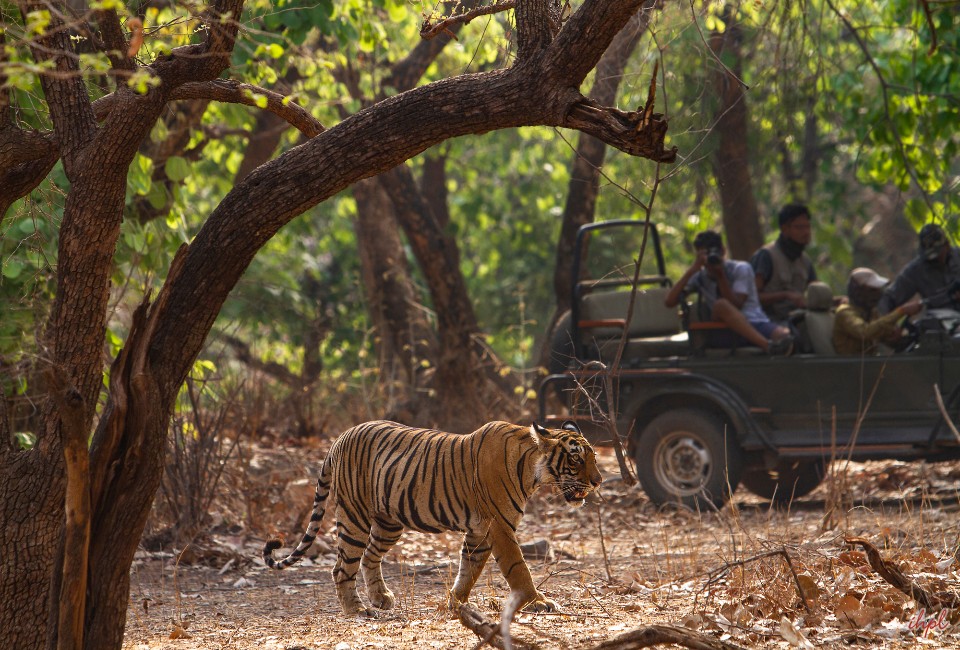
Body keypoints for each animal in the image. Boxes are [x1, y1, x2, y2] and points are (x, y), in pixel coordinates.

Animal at [264, 418, 600, 616]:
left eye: (594, 457)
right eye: (576, 458)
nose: (598, 481)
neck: (532, 469)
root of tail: (339, 438)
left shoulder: (480, 532)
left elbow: (469, 569)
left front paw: (456, 603)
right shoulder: (500, 528)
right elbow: (518, 569)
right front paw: (538, 602)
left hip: (388, 523)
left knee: (370, 556)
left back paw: (381, 598)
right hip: (354, 516)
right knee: (341, 567)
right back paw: (357, 610)